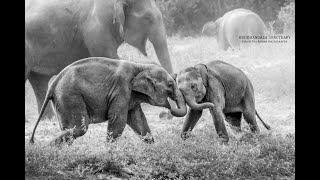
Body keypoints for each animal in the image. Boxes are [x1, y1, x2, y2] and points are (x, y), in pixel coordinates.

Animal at [25, 0, 174, 121]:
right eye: (148, 18)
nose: (164, 115)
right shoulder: (96, 27)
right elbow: (109, 57)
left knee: (39, 81)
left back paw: (48, 118)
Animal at [29, 57, 188, 146]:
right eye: (170, 85)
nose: (169, 107)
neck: (140, 66)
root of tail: (54, 84)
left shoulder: (130, 95)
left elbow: (138, 120)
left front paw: (151, 148)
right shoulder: (121, 89)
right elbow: (119, 119)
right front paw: (109, 151)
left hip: (63, 100)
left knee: (69, 129)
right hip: (69, 96)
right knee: (79, 128)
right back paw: (48, 150)